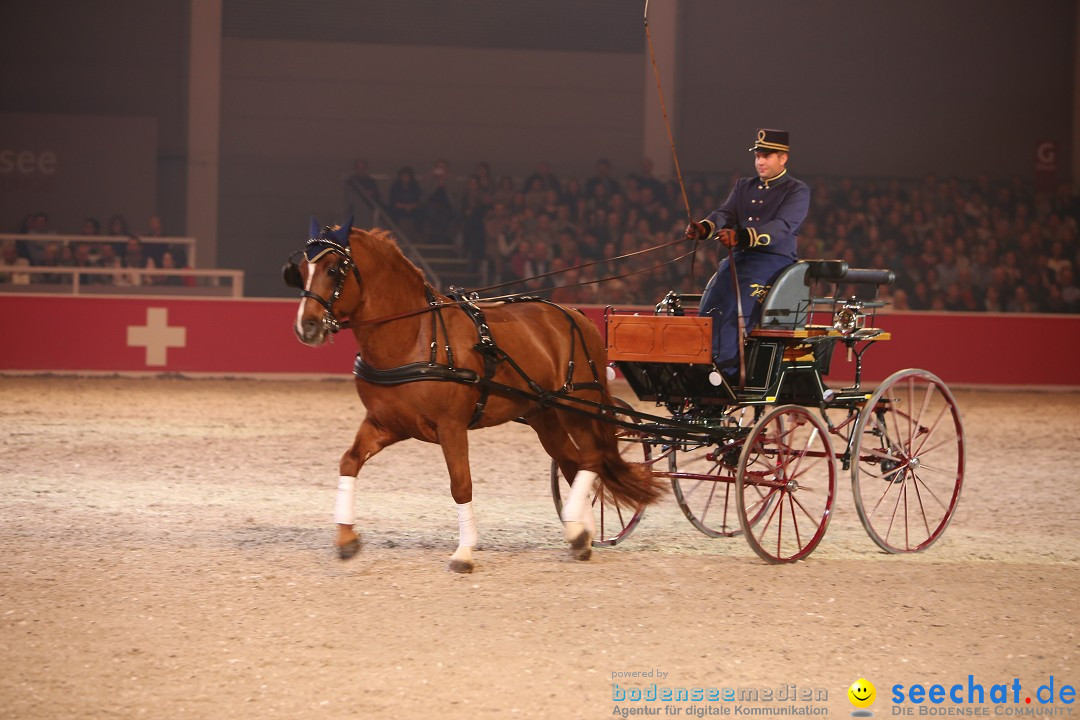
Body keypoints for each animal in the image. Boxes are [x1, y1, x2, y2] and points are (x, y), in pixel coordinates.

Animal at [282, 220, 660, 574]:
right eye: (300, 272)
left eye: (334, 269)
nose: (306, 327)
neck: (416, 336)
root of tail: (577, 315)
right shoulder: (387, 423)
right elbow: (349, 461)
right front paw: (346, 538)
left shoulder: (451, 426)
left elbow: (461, 484)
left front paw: (463, 553)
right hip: (545, 414)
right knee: (573, 462)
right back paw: (579, 532)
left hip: (576, 405)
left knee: (592, 458)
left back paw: (577, 526)